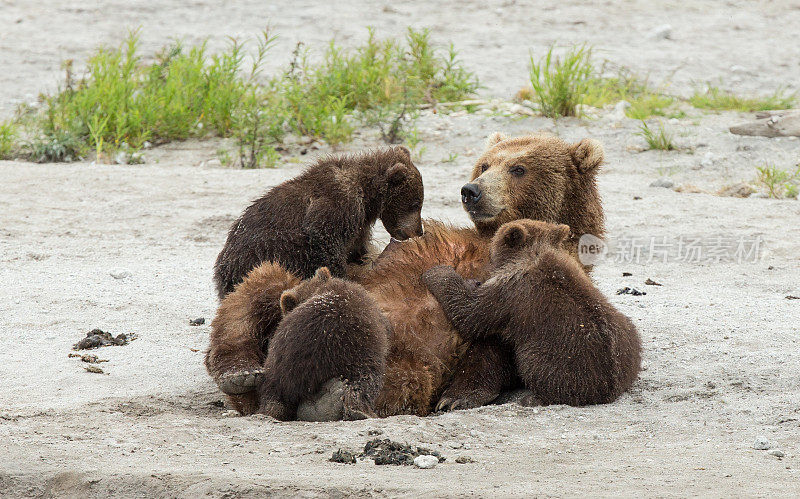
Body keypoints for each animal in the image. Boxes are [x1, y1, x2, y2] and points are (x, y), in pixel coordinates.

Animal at [205, 133, 608, 418]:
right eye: (484, 165)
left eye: (519, 168)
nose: (472, 191)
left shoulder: (534, 282)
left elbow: (494, 335)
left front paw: (457, 397)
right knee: (258, 288)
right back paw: (240, 371)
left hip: (404, 372)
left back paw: (332, 396)